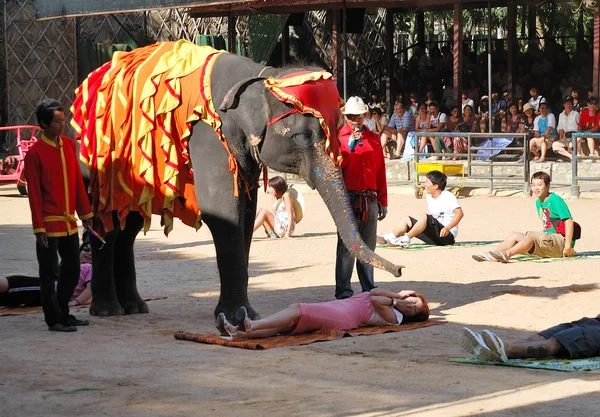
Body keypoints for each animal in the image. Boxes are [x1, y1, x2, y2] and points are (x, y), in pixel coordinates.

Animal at [75, 41, 404, 322]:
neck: (259, 76)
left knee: (127, 226)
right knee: (108, 223)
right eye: (302, 137)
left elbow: (246, 211)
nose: (400, 269)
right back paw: (107, 311)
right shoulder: (208, 135)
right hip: (96, 160)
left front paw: (247, 315)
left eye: (336, 133)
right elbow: (224, 212)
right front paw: (235, 317)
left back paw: (135, 307)